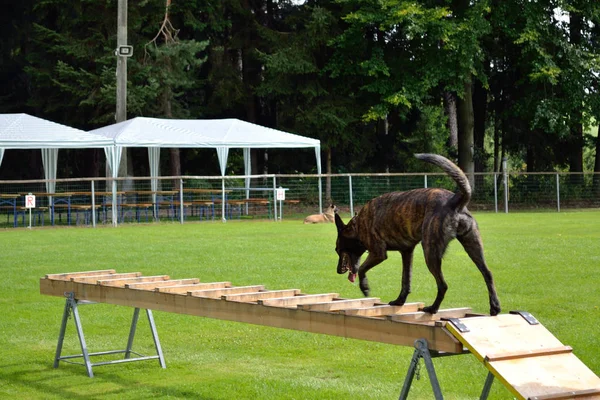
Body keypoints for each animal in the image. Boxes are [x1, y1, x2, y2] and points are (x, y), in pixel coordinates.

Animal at [336, 153, 500, 316]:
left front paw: (365, 287)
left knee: (443, 285)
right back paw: (495, 306)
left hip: (430, 252)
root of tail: (454, 200)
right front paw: (399, 301)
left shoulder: (378, 253)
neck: (358, 225)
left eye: (337, 250)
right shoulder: (407, 253)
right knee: (488, 273)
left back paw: (433, 308)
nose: (337, 271)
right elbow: (405, 280)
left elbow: (362, 268)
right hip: (473, 246)